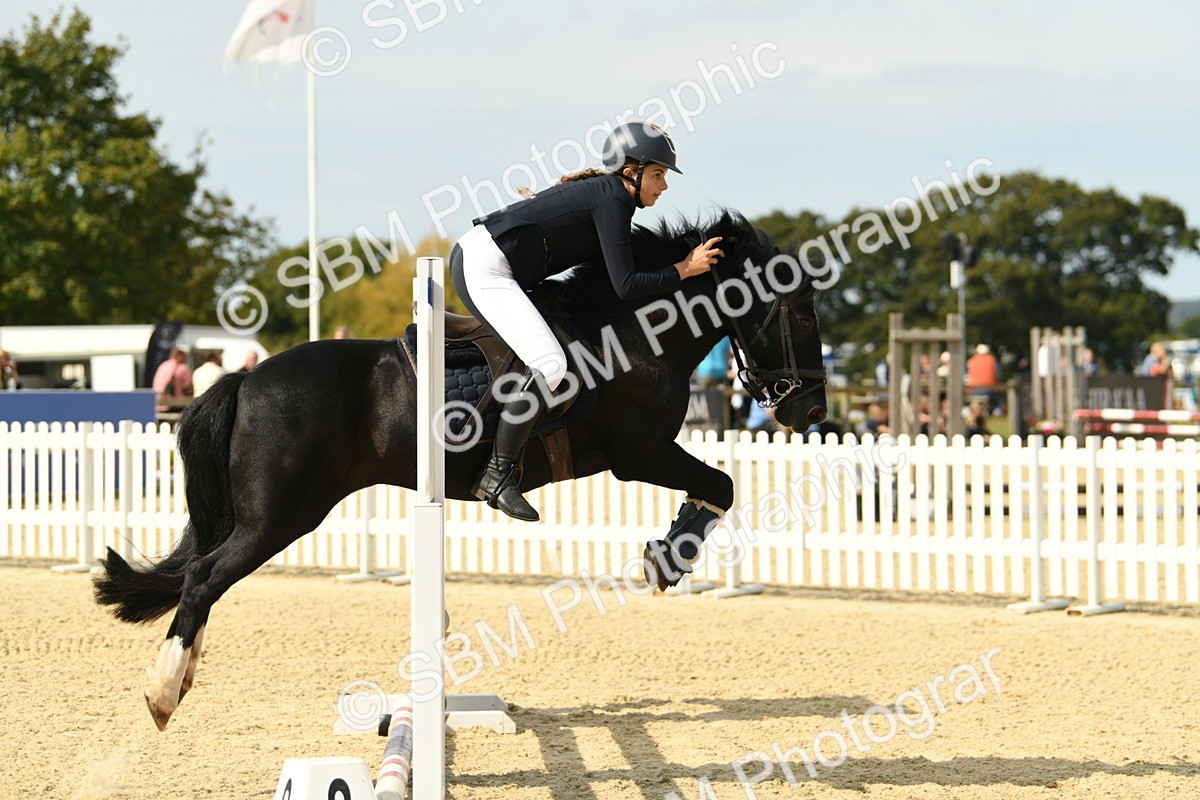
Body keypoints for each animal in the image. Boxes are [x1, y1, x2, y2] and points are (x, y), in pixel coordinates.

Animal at [93, 210, 828, 730]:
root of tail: (244, 380)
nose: (814, 409)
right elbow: (721, 483)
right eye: (798, 310)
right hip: (279, 517)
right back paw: (163, 692)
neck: (636, 332)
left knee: (201, 578)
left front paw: (668, 554)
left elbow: (717, 487)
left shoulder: (642, 456)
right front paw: (667, 561)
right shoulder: (637, 455)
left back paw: (183, 675)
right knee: (203, 578)